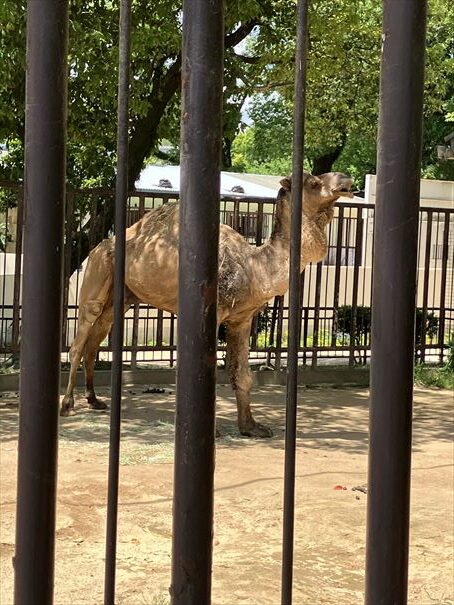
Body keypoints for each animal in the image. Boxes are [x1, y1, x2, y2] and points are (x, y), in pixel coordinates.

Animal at [60, 170, 352, 434]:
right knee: (80, 338)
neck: (253, 266)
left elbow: (243, 374)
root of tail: (98, 247)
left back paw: (94, 400)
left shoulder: (242, 318)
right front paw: (214, 431)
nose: (346, 180)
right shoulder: (215, 313)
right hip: (98, 272)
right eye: (313, 182)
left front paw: (251, 426)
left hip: (122, 297)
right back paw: (67, 404)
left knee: (95, 340)